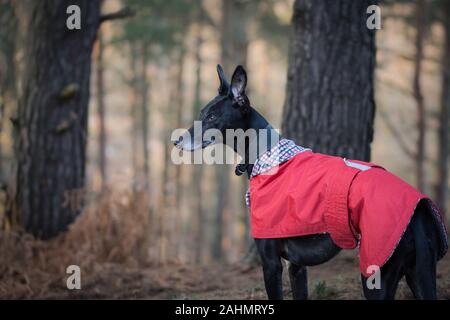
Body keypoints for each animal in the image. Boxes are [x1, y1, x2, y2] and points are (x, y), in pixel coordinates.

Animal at [175, 65, 446, 300]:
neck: (267, 154)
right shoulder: (297, 266)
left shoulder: (271, 263)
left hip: (376, 274)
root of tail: (420, 210)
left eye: (212, 116)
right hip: (420, 276)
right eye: (201, 114)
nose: (175, 141)